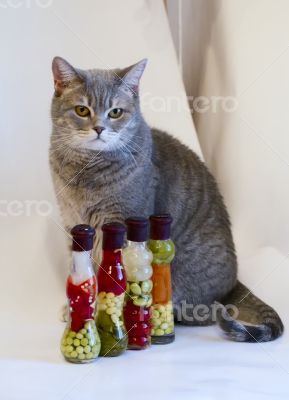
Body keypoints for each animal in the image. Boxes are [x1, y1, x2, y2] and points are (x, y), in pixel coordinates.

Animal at [49, 57, 282, 342]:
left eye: (115, 112)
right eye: (82, 110)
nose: (99, 128)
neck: (86, 171)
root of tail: (234, 282)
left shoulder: (120, 222)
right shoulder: (72, 221)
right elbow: (84, 269)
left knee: (205, 313)